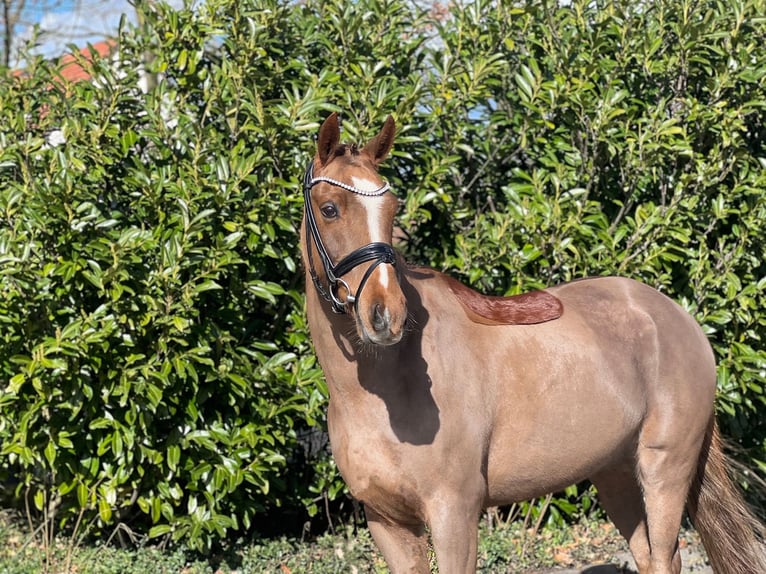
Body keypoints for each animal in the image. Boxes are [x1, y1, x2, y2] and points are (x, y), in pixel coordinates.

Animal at [302, 110, 766, 572]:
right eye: (329, 209)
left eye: (393, 207)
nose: (386, 315)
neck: (384, 388)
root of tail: (680, 319)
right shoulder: (387, 522)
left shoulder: (454, 513)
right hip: (615, 473)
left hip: (664, 469)